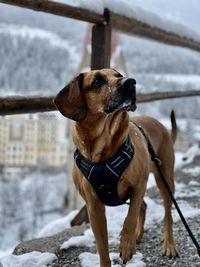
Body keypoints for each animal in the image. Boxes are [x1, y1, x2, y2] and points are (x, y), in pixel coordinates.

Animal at [53, 69, 178, 267]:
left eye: (118, 74)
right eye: (97, 82)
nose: (131, 82)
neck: (103, 151)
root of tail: (160, 125)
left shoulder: (138, 186)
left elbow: (130, 218)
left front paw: (126, 245)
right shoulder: (94, 207)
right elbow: (102, 247)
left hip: (164, 180)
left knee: (167, 216)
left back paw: (169, 245)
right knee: (144, 206)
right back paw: (138, 235)